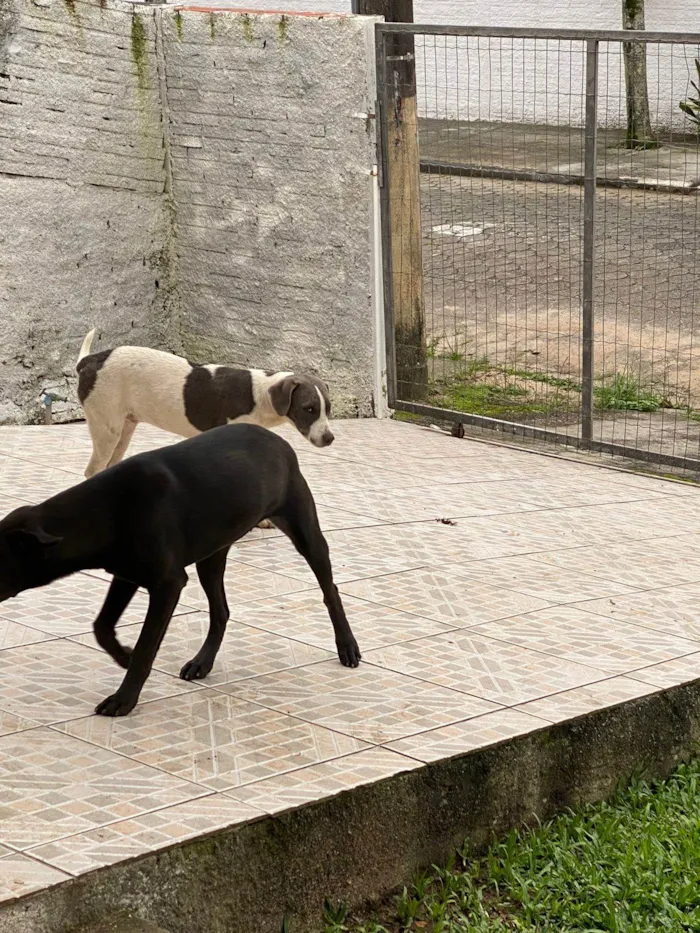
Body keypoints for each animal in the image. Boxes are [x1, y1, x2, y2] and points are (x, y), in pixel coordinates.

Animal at [0, 426, 360, 716]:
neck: (104, 511)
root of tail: (275, 438)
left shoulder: (167, 583)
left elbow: (146, 646)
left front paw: (124, 699)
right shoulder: (127, 574)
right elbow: (101, 626)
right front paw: (123, 655)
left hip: (304, 530)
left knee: (330, 590)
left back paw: (347, 647)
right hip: (211, 556)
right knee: (221, 611)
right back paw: (202, 662)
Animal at [76, 330, 334, 480]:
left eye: (328, 409)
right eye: (309, 408)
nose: (330, 439)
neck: (258, 395)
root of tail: (91, 360)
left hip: (124, 429)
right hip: (107, 430)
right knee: (93, 470)